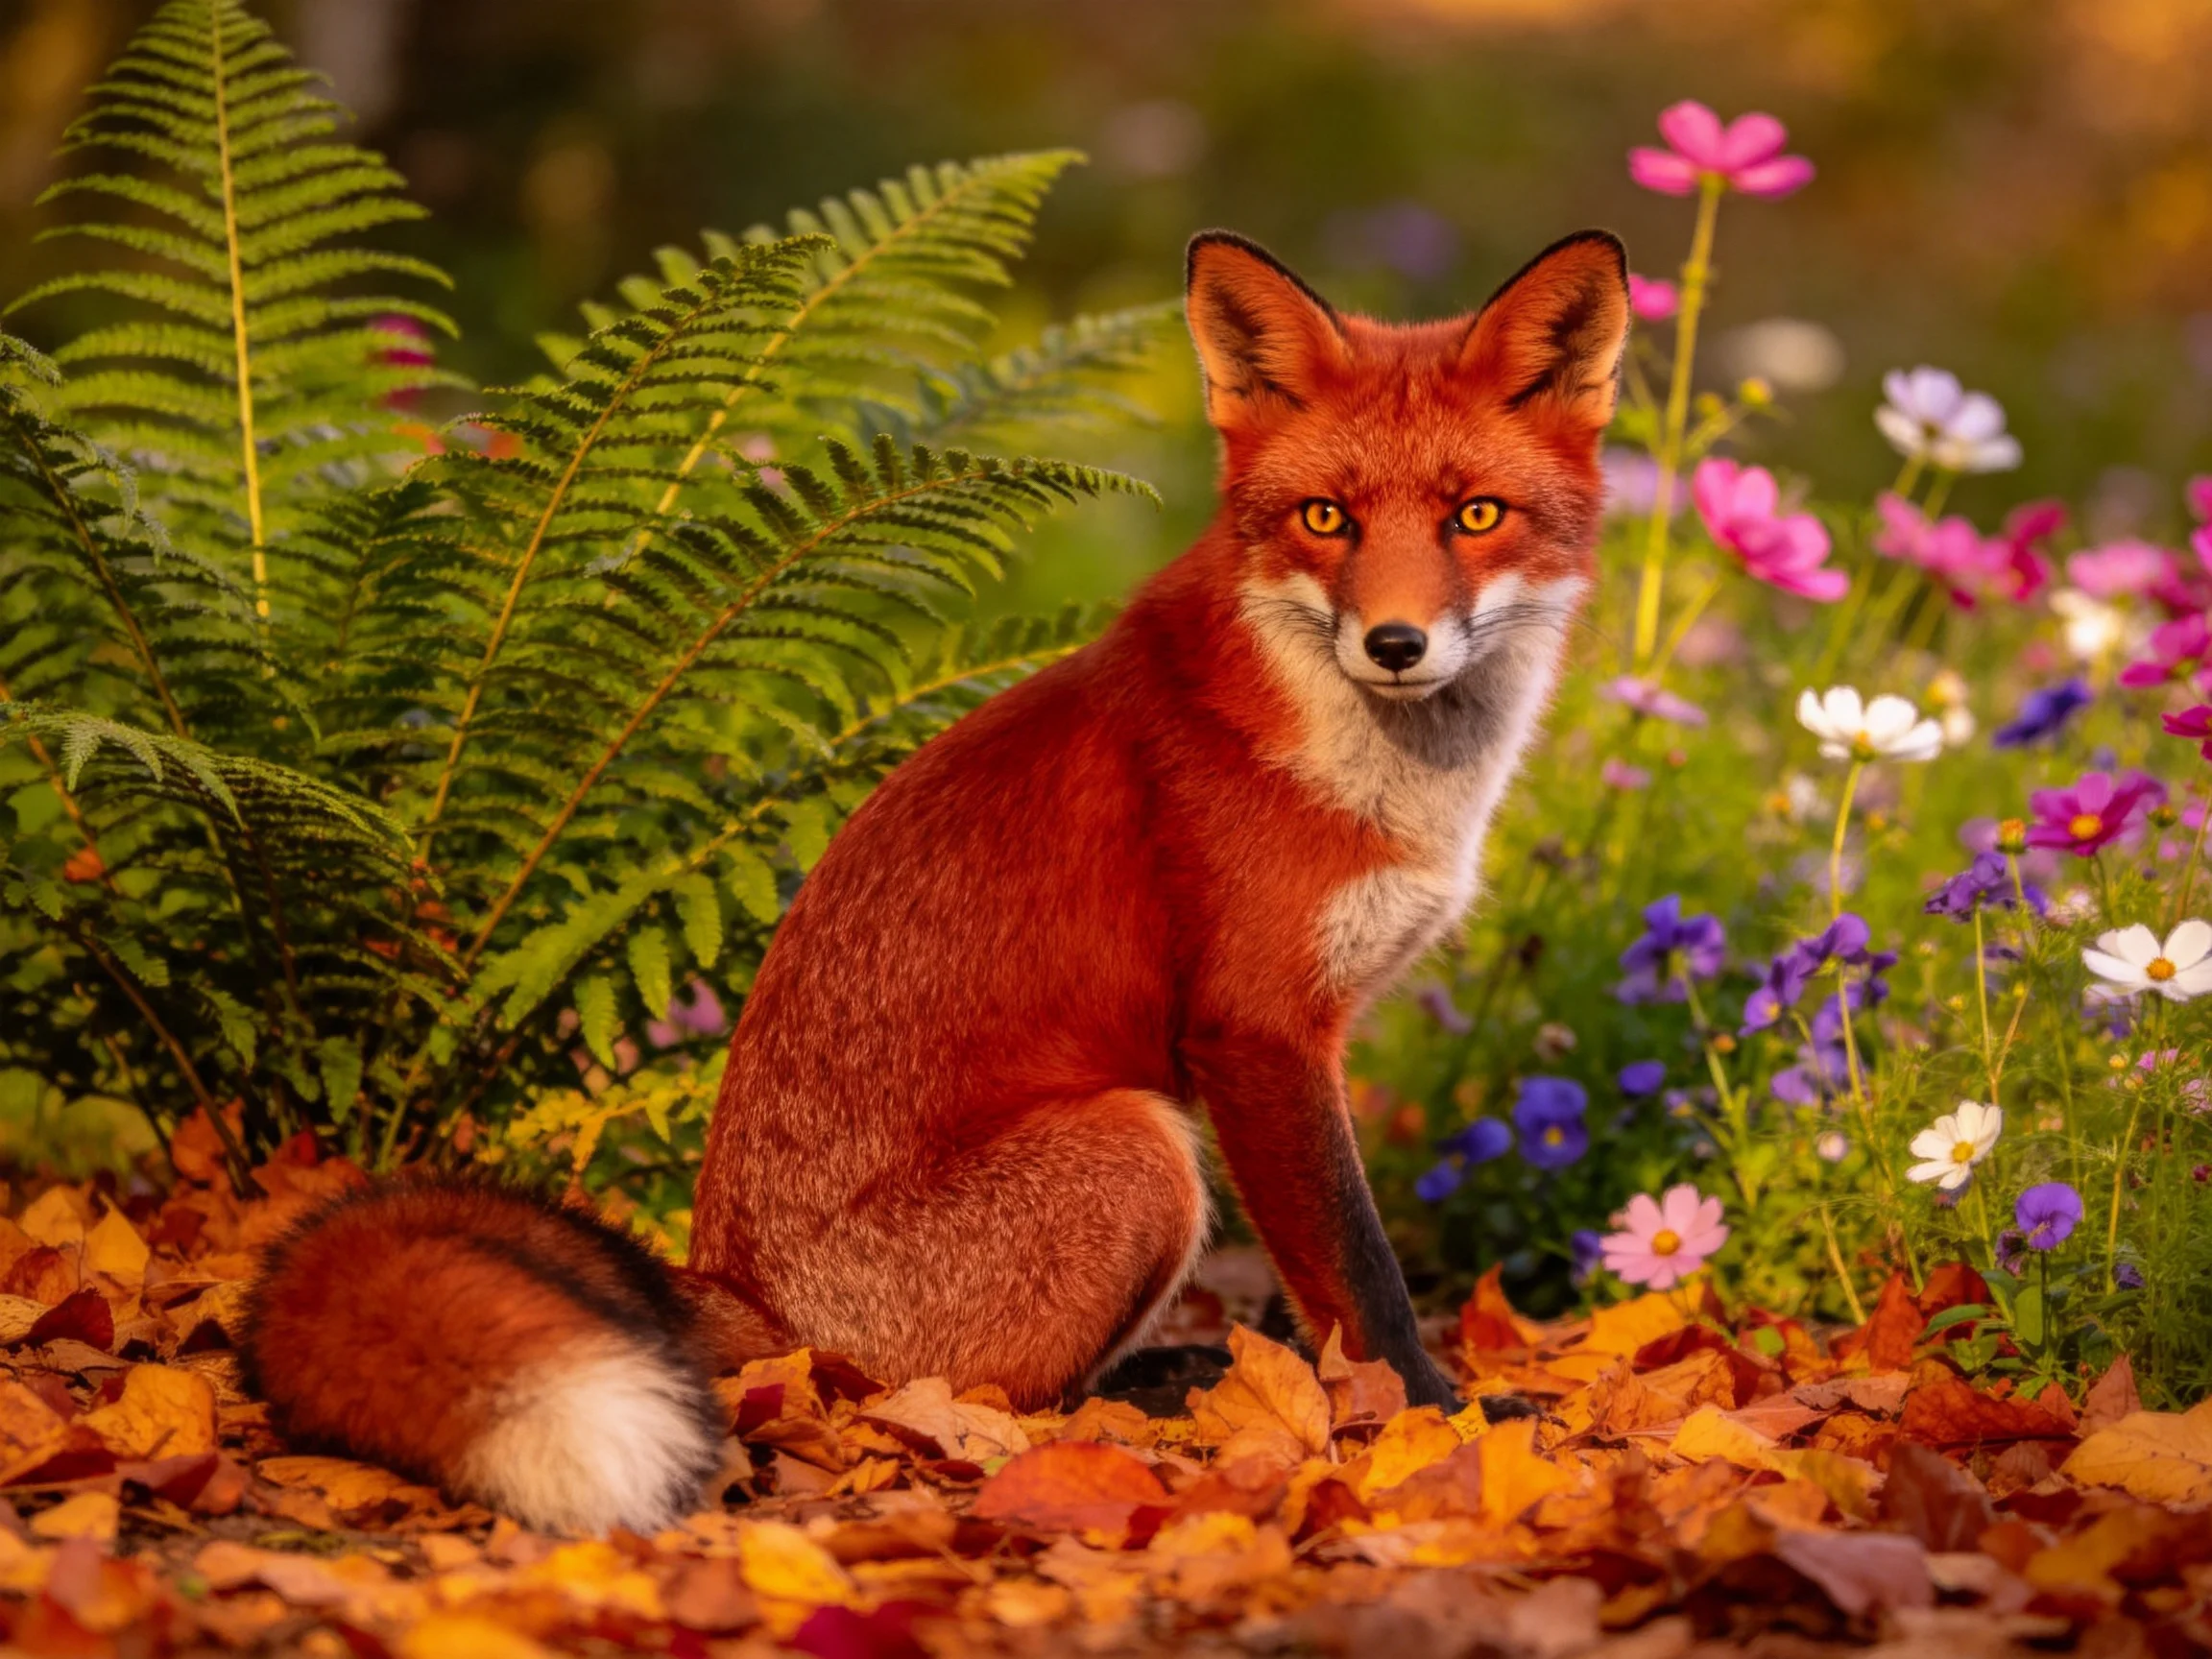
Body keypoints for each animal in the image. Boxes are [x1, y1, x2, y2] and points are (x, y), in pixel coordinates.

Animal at [241, 228, 1630, 1536]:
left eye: (1476, 516)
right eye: (1326, 519)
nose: (1394, 644)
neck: (1372, 767)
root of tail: (746, 1296)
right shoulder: (1257, 1032)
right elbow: (1362, 1279)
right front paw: (1431, 1417)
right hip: (1137, 1150)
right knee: (971, 1403)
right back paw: (1150, 1401)